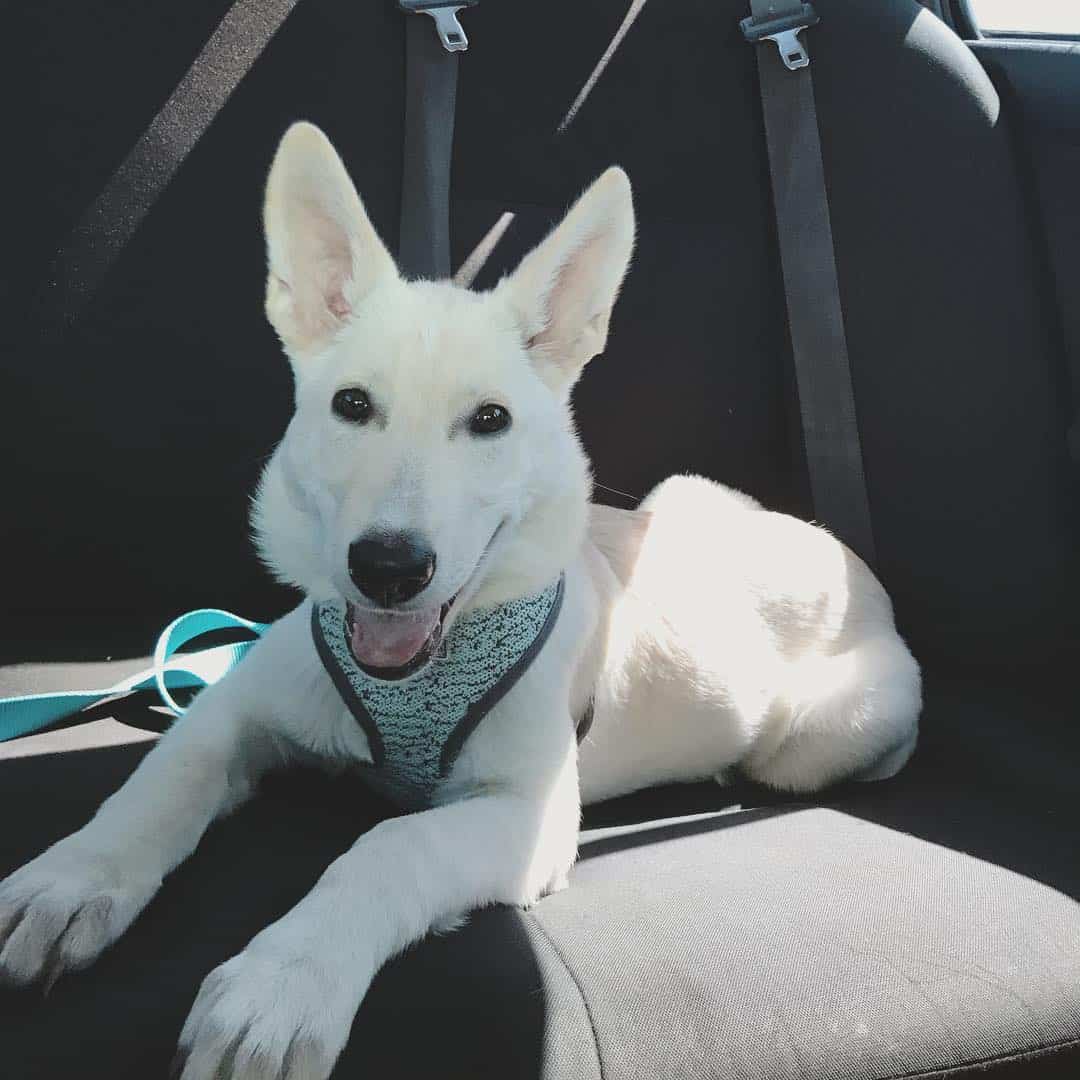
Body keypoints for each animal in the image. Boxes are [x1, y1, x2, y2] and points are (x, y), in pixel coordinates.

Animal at [0, 124, 920, 1080]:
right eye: (351, 404)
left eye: (490, 420)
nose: (389, 568)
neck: (421, 676)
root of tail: (847, 559)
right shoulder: (233, 709)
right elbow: (160, 781)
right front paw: (71, 880)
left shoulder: (528, 817)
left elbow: (390, 844)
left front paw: (284, 982)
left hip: (830, 730)